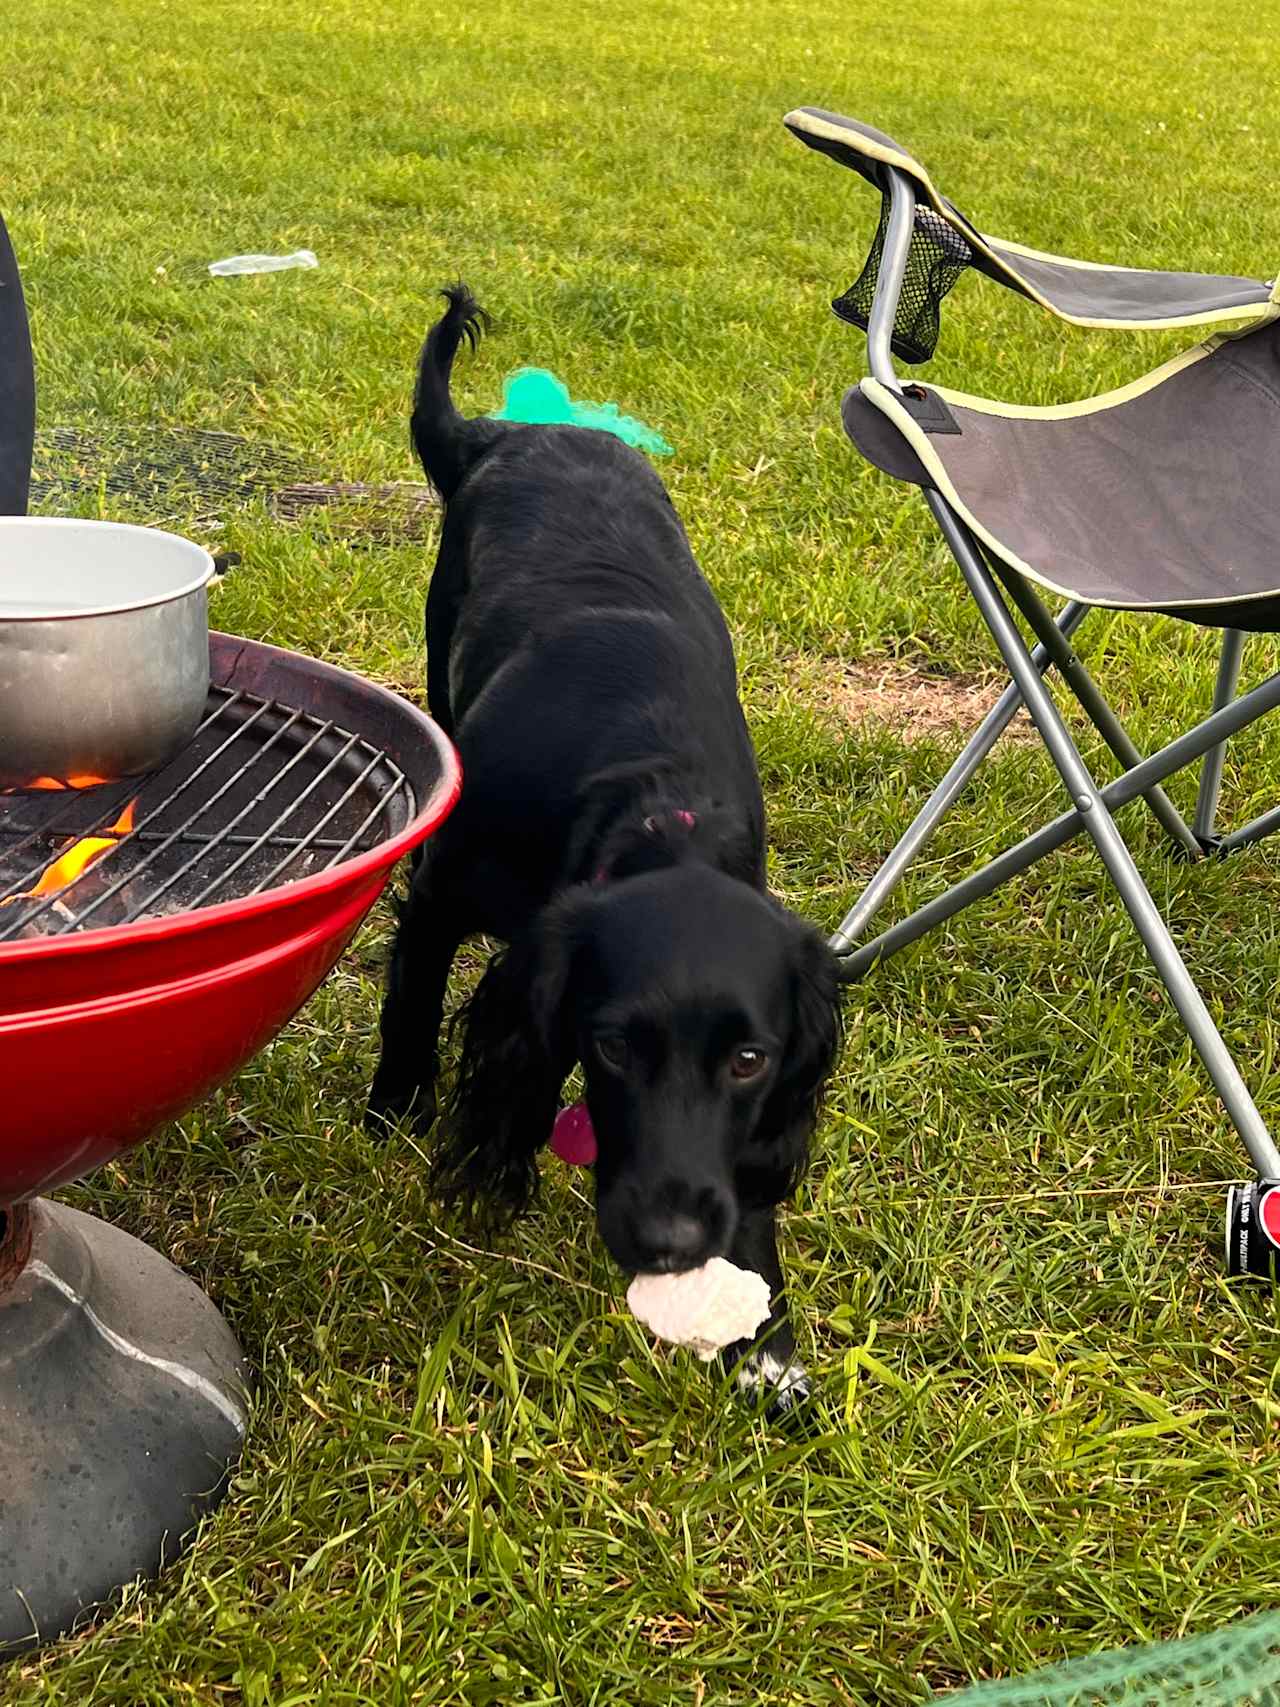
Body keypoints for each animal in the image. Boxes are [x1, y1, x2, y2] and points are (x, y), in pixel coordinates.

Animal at [368, 286, 843, 1406]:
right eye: (616, 1046)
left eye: (751, 1060)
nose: (670, 1242)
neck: (658, 807)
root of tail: (518, 428)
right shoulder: (442, 894)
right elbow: (416, 1001)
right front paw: (400, 1108)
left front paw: (768, 1345)